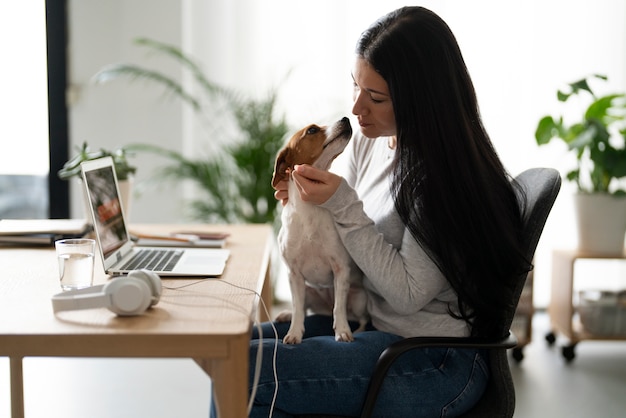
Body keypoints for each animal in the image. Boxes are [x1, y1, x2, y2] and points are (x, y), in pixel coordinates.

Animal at [270, 116, 368, 342]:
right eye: (312, 130)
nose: (346, 118)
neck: (309, 211)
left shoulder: (341, 269)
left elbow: (339, 308)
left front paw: (342, 331)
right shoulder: (294, 274)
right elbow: (298, 309)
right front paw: (294, 333)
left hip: (359, 299)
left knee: (362, 319)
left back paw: (357, 330)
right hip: (307, 290)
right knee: (302, 308)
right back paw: (287, 314)